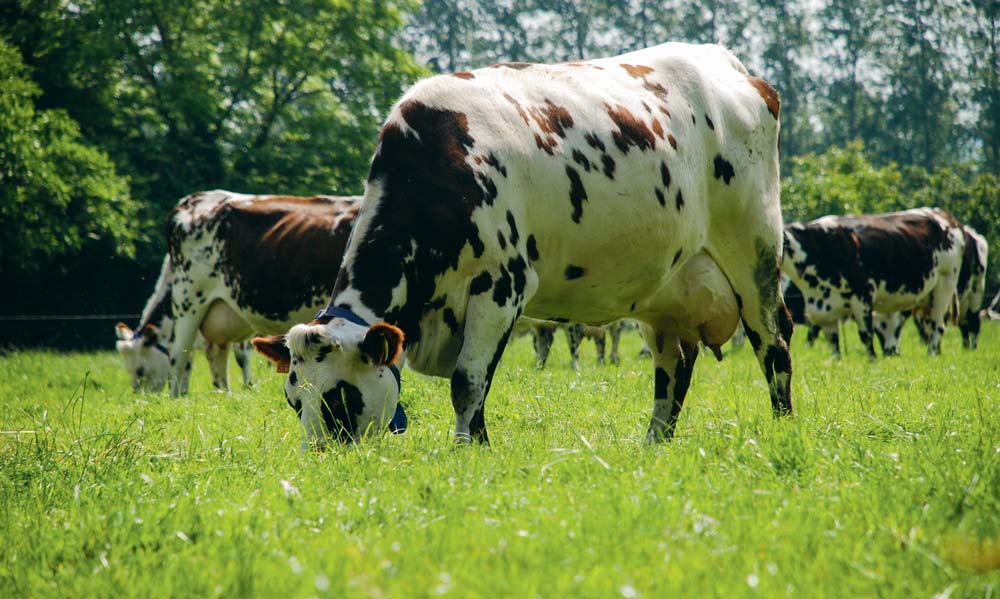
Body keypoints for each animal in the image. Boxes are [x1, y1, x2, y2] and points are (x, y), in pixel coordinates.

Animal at [115, 190, 362, 396]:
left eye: (139, 370)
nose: (142, 398)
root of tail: (193, 200)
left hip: (192, 303)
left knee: (195, 358)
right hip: (190, 300)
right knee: (181, 356)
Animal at [254, 43, 792, 446]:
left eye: (339, 397)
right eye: (293, 399)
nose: (317, 458)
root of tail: (735, 68)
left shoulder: (502, 284)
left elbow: (468, 382)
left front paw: (467, 451)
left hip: (755, 252)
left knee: (774, 343)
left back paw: (783, 429)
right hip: (665, 288)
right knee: (674, 363)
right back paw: (654, 443)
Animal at [784, 207, 964, 356]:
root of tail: (946, 217)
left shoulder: (863, 295)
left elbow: (866, 336)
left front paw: (872, 362)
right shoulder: (825, 311)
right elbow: (833, 344)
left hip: (945, 283)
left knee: (937, 325)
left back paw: (930, 355)